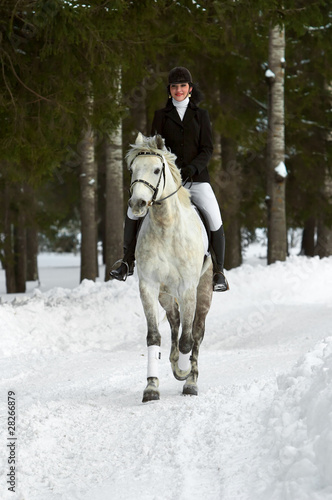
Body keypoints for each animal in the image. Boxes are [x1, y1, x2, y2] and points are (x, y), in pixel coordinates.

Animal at [127, 134, 213, 402]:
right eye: (132, 169)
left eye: (157, 170)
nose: (137, 204)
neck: (166, 226)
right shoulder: (149, 286)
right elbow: (154, 336)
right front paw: (151, 387)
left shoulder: (188, 288)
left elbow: (188, 339)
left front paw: (185, 374)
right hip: (165, 294)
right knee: (175, 323)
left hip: (204, 291)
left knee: (196, 332)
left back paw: (191, 380)